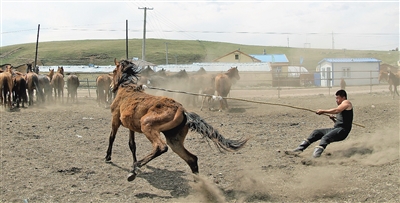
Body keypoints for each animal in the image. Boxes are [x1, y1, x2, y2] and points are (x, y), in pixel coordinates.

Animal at [104, 58, 248, 181]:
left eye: (113, 71)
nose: (110, 87)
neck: (127, 88)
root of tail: (183, 111)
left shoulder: (115, 120)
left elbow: (111, 137)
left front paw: (108, 157)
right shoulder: (130, 127)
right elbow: (132, 145)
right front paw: (132, 160)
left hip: (147, 125)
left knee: (161, 147)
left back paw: (134, 169)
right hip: (174, 139)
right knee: (192, 159)